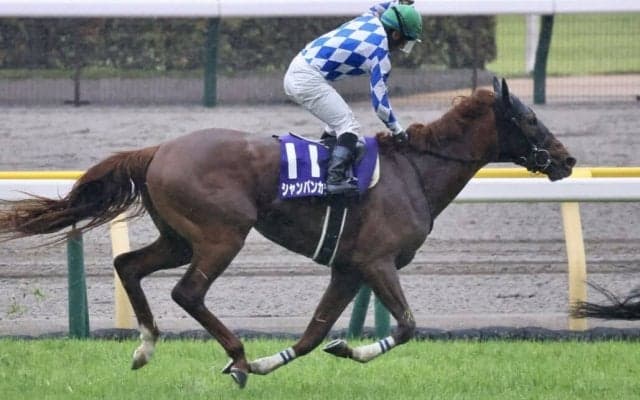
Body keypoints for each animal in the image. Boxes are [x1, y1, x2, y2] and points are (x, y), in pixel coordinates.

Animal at [0, 77, 575, 388]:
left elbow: (314, 333)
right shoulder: (378, 262)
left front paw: (280, 358)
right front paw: (324, 353)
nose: (567, 160)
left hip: (179, 238)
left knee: (129, 266)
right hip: (222, 234)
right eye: (529, 119)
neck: (415, 171)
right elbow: (409, 325)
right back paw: (233, 354)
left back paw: (147, 347)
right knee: (188, 291)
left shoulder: (348, 267)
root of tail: (158, 149)